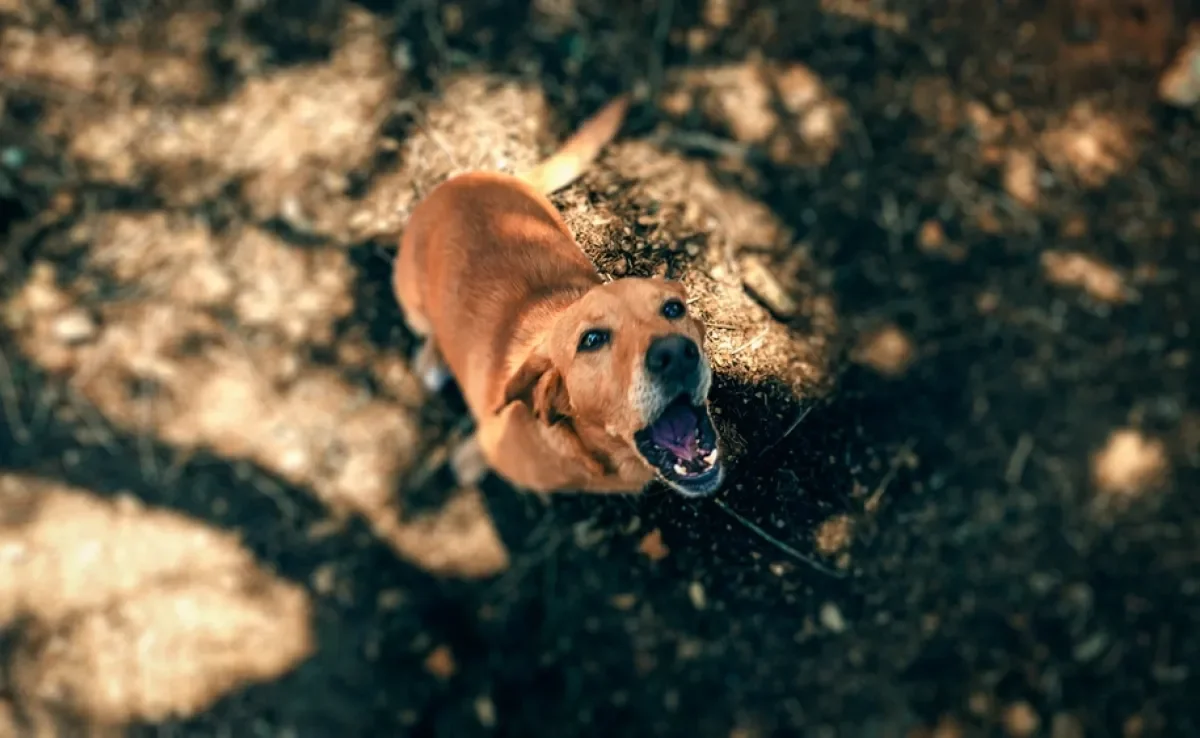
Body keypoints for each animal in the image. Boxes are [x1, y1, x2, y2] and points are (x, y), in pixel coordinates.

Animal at [398, 92, 724, 496]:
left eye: (673, 308)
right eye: (592, 340)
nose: (676, 354)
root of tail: (470, 178)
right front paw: (466, 465)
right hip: (413, 302)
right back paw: (433, 361)